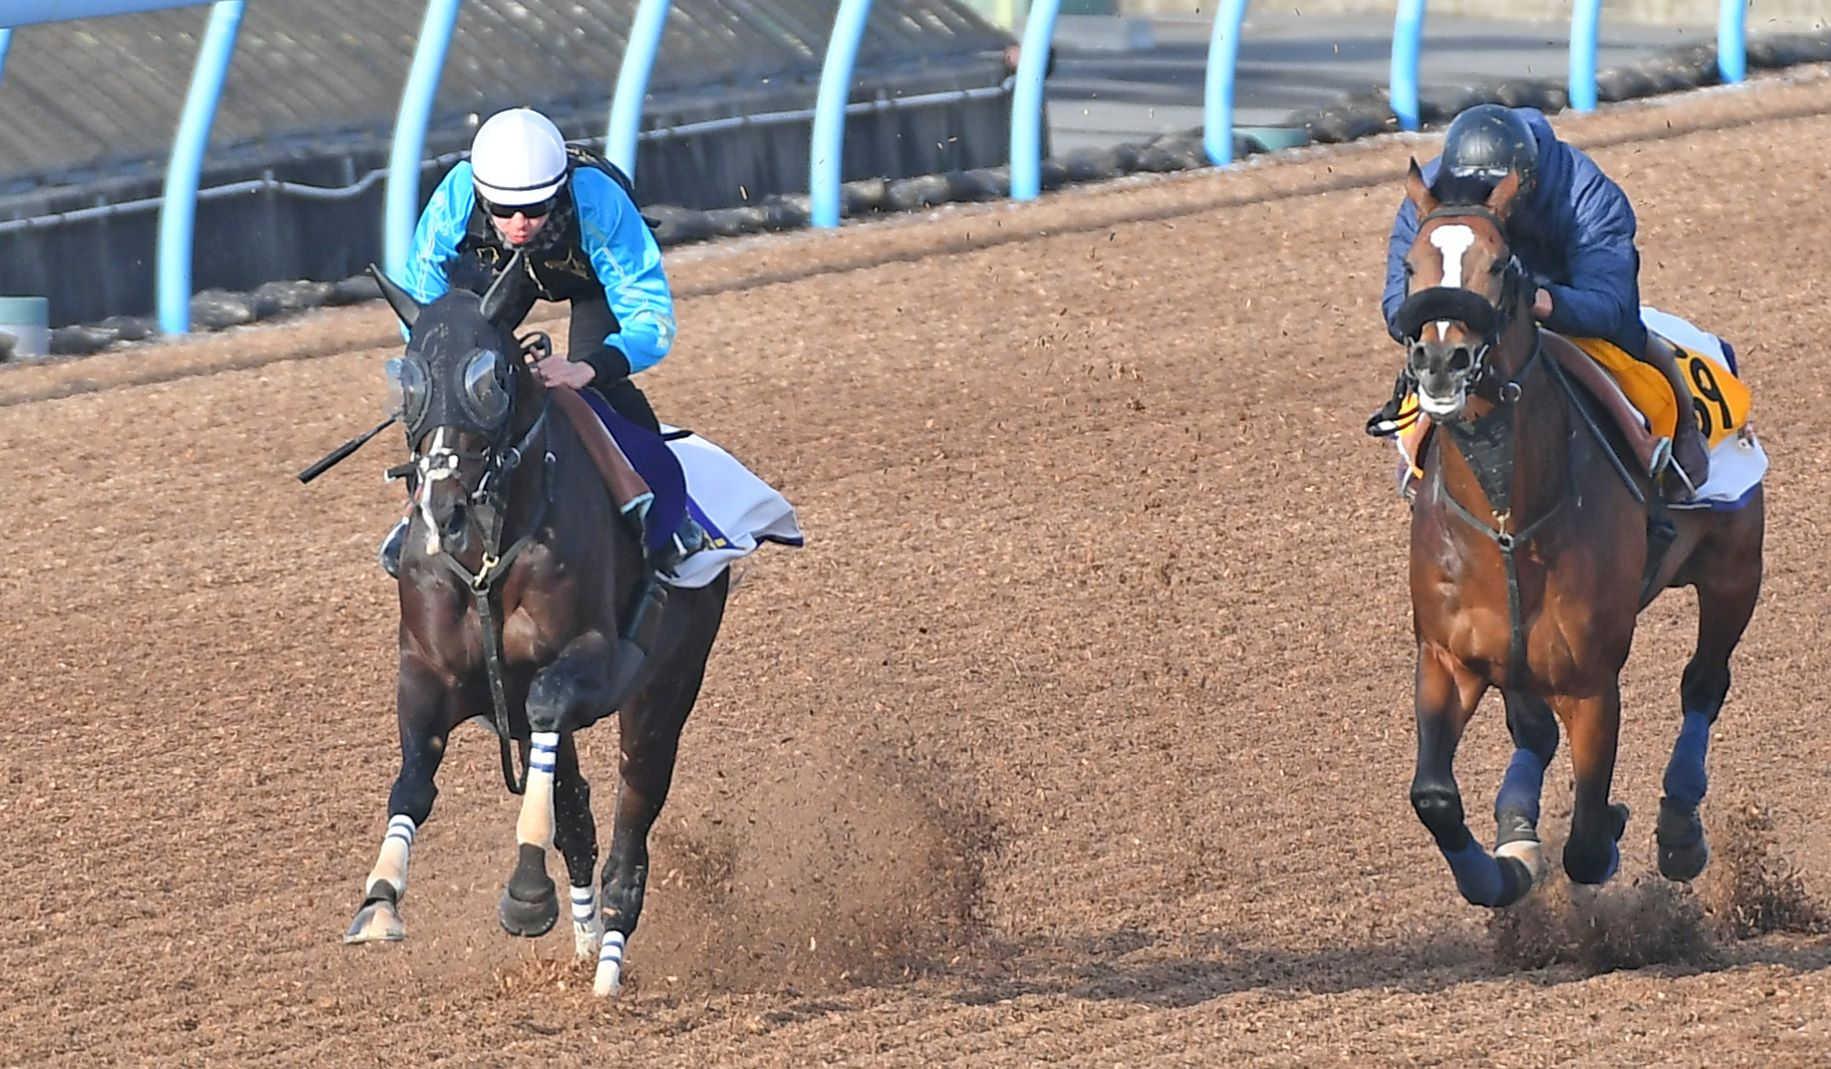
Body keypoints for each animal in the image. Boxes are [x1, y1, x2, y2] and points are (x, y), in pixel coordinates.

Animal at [340, 250, 725, 995]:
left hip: (664, 690)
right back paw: (584, 939)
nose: (443, 510)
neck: (486, 551)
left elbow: (553, 722)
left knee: (631, 824)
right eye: (408, 381)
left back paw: (607, 966)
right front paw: (379, 898)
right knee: (576, 808)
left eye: (490, 378)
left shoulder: (590, 660)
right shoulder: (429, 672)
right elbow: (413, 780)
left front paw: (524, 891)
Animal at [1391, 162, 1765, 907]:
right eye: (1411, 264)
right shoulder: (1447, 658)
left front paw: (1615, 827)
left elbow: (1590, 841)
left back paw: (1679, 826)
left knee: (1703, 682)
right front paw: (1502, 866)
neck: (1506, 521)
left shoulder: (1591, 683)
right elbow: (1435, 797)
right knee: (1531, 730)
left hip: (1736, 569)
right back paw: (1516, 824)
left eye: (1501, 264)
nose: (1441, 361)